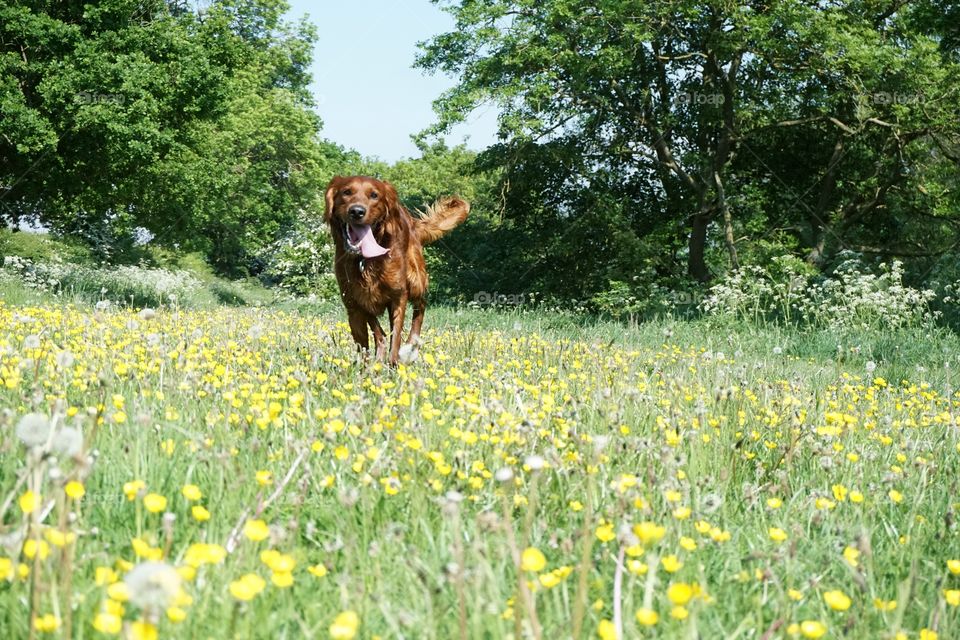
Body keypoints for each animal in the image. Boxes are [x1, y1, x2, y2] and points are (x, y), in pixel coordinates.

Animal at [324, 176, 470, 364]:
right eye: (346, 192)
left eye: (374, 195)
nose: (357, 211)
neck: (365, 259)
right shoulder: (354, 305)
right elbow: (365, 344)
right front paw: (365, 369)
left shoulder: (398, 295)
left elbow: (396, 337)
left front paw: (394, 364)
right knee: (380, 333)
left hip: (416, 280)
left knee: (421, 306)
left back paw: (411, 344)